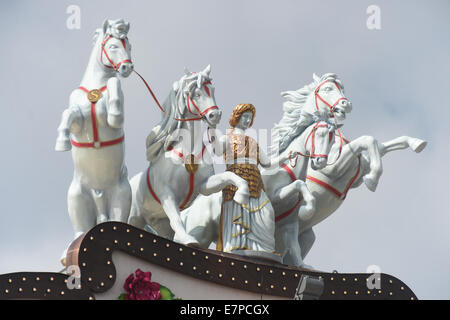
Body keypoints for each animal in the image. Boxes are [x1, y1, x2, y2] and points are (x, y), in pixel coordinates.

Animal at [54, 19, 132, 240]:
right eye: (113, 46)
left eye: (129, 46)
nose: (127, 67)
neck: (95, 88)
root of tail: (100, 197)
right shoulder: (78, 122)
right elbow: (70, 113)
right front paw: (62, 141)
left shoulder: (114, 118)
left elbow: (114, 91)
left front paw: (113, 108)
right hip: (77, 198)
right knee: (81, 229)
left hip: (121, 195)